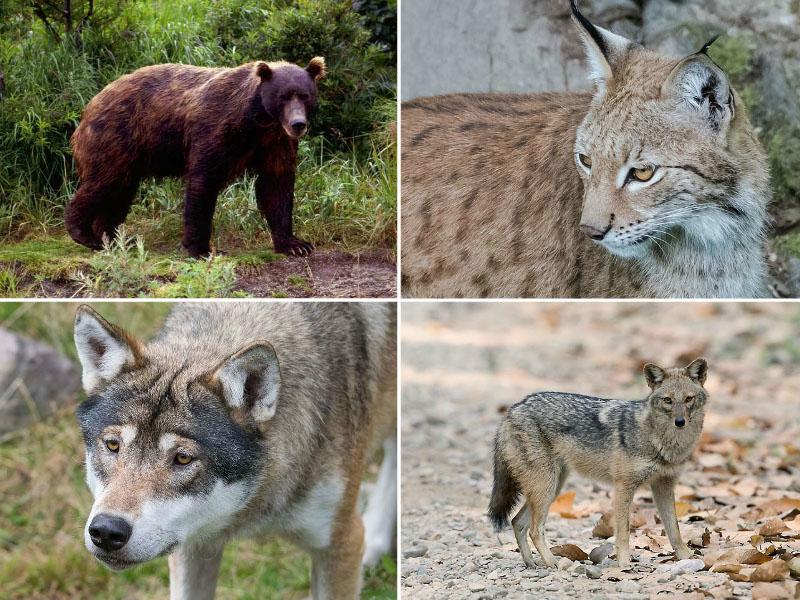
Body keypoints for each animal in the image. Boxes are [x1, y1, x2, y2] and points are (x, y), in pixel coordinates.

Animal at [66, 58, 324, 258]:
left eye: (305, 96)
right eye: (283, 97)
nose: (298, 124)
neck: (257, 121)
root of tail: (91, 103)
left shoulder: (275, 143)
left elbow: (276, 186)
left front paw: (296, 244)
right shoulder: (216, 130)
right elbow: (203, 181)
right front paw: (201, 249)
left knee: (120, 192)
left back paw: (113, 238)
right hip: (118, 137)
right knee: (105, 181)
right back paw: (84, 233)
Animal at [488, 358, 708, 568]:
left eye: (688, 399)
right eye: (668, 400)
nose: (680, 422)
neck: (660, 441)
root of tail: (513, 409)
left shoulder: (664, 485)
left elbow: (674, 529)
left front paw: (686, 557)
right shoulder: (623, 487)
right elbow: (624, 531)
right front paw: (624, 563)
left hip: (552, 488)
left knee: (517, 522)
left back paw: (531, 563)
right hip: (546, 489)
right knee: (534, 529)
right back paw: (552, 563)